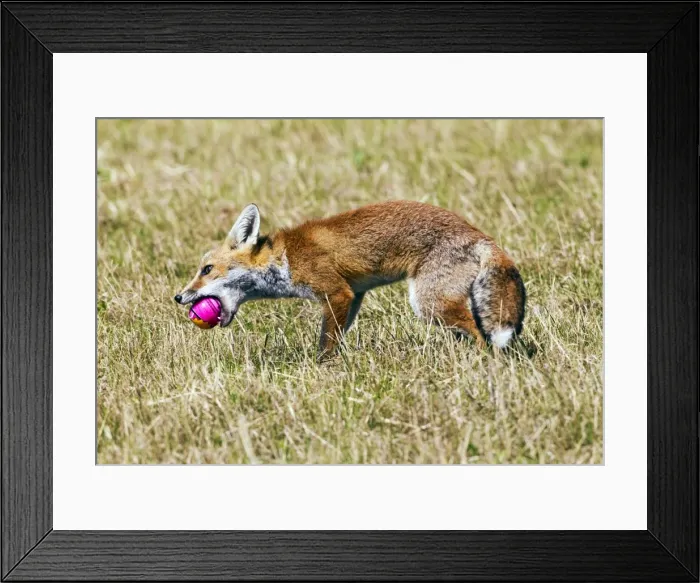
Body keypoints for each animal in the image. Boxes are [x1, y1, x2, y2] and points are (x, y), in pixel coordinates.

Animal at [175, 200, 525, 360]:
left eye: (206, 270)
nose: (178, 297)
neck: (284, 259)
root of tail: (478, 233)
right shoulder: (353, 295)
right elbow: (338, 335)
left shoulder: (336, 293)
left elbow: (326, 344)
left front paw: (323, 369)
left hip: (429, 302)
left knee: (479, 334)